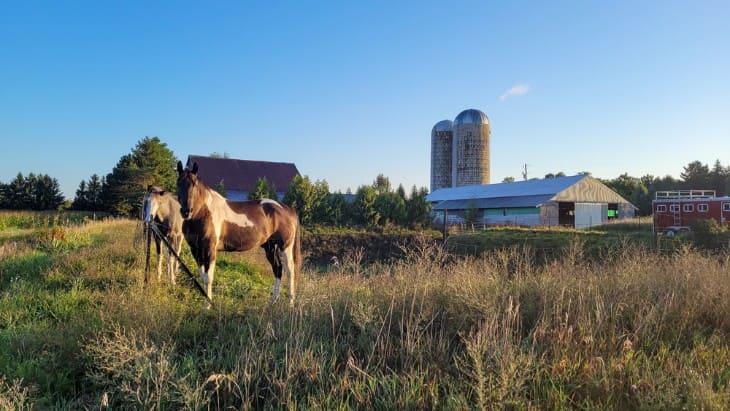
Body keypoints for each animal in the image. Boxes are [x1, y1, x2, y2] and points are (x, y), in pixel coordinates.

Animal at [175, 161, 300, 306]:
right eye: (178, 183)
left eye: (194, 184)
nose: (186, 211)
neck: (203, 213)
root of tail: (287, 209)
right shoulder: (196, 250)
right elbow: (202, 277)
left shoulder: (210, 250)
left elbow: (208, 278)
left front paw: (208, 305)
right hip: (270, 248)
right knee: (278, 269)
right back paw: (273, 302)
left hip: (284, 247)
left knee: (290, 271)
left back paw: (290, 304)